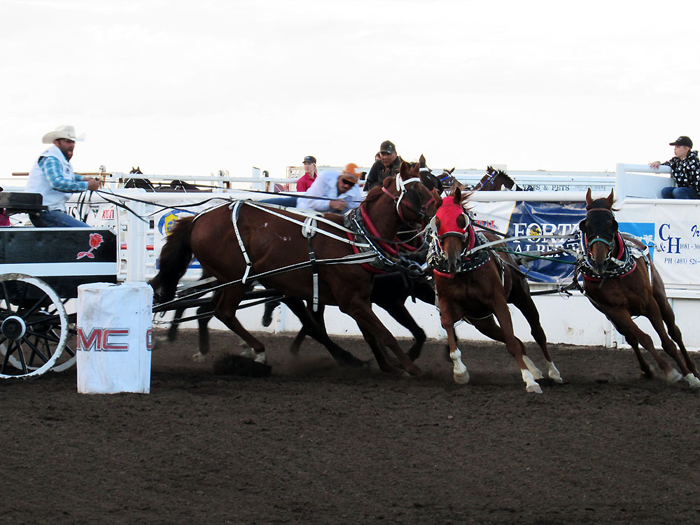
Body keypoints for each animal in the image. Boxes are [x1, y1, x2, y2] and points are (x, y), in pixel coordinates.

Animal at [150, 162, 440, 374]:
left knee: (210, 308)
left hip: (233, 279)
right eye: (419, 191)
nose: (440, 213)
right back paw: (258, 351)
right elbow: (384, 334)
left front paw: (386, 366)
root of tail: (197, 219)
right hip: (238, 279)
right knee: (224, 312)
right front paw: (410, 367)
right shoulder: (354, 301)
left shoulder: (362, 298)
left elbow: (372, 335)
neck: (354, 238)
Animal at [426, 186, 564, 390]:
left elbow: (512, 343)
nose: (452, 261)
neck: (464, 271)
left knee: (537, 333)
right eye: (437, 222)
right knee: (516, 340)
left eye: (461, 220)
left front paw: (528, 381)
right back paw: (535, 371)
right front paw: (460, 372)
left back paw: (552, 372)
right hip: (483, 322)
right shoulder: (447, 304)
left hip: (522, 297)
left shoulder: (498, 302)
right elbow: (449, 330)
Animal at [576, 188, 696, 384]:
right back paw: (646, 369)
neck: (615, 272)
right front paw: (669, 370)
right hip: (614, 318)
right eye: (586, 225)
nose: (599, 261)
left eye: (611, 224)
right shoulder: (616, 311)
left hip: (661, 298)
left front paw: (689, 376)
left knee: (674, 332)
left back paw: (693, 369)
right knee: (631, 338)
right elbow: (644, 339)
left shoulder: (649, 303)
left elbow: (667, 342)